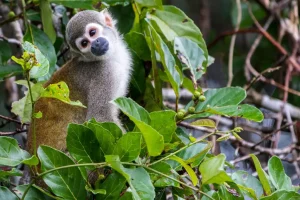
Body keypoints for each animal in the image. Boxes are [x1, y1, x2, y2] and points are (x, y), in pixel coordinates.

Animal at [26, 9, 132, 153]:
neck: (109, 57)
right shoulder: (104, 73)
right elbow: (100, 117)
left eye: (92, 33)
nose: (95, 44)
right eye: (84, 44)